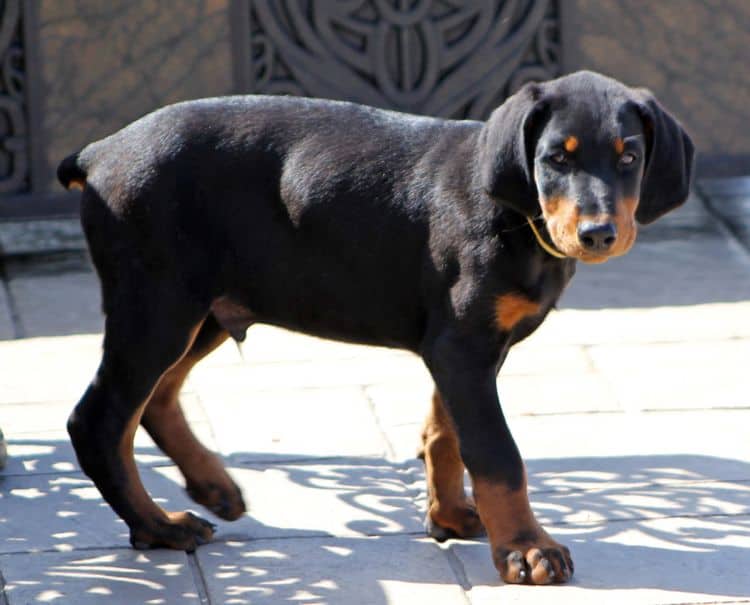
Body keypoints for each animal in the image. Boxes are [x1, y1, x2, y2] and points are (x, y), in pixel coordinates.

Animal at [57, 71, 692, 584]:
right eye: (557, 159)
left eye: (629, 158)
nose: (598, 234)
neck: (517, 217)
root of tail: (99, 152)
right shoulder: (462, 346)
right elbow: (496, 453)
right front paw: (525, 549)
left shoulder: (460, 348)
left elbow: (446, 433)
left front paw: (451, 517)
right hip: (159, 304)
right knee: (100, 419)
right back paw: (158, 526)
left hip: (206, 308)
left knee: (156, 398)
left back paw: (210, 489)